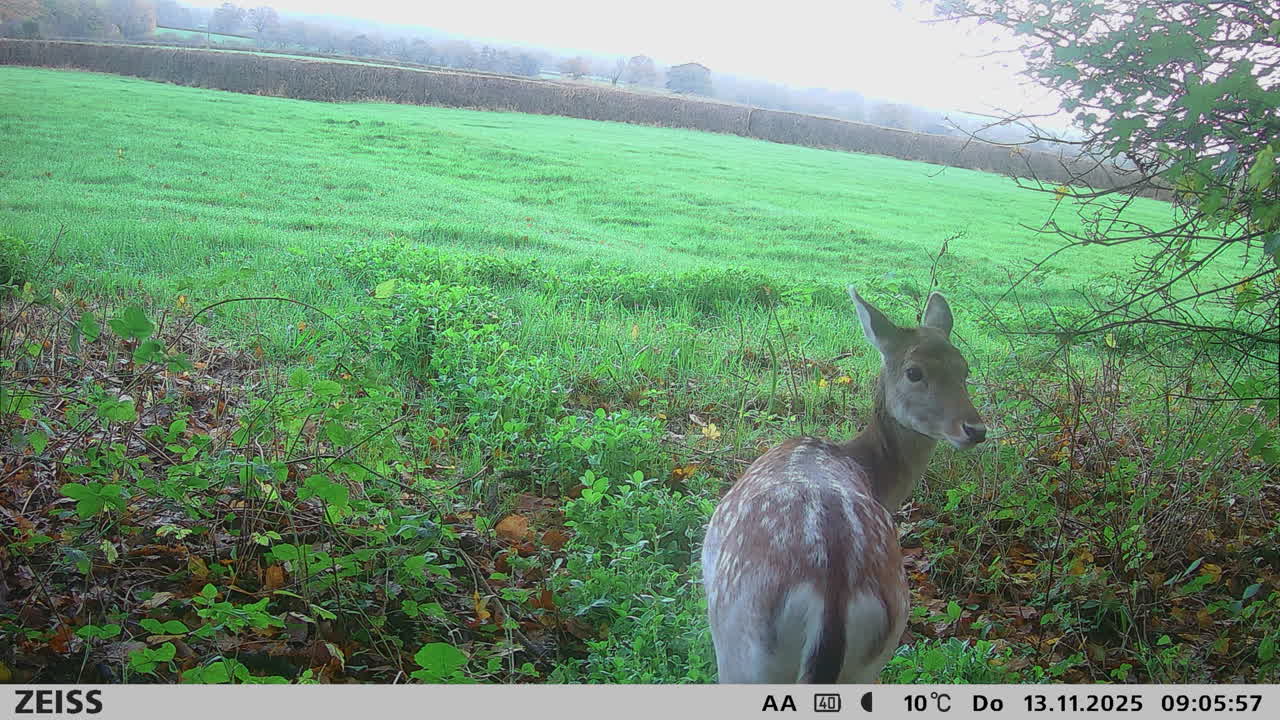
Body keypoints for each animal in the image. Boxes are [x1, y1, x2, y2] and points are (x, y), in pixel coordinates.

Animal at [701, 286, 986, 684]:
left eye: (964, 369)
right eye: (914, 372)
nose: (975, 429)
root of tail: (833, 596)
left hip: (740, 645)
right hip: (871, 658)